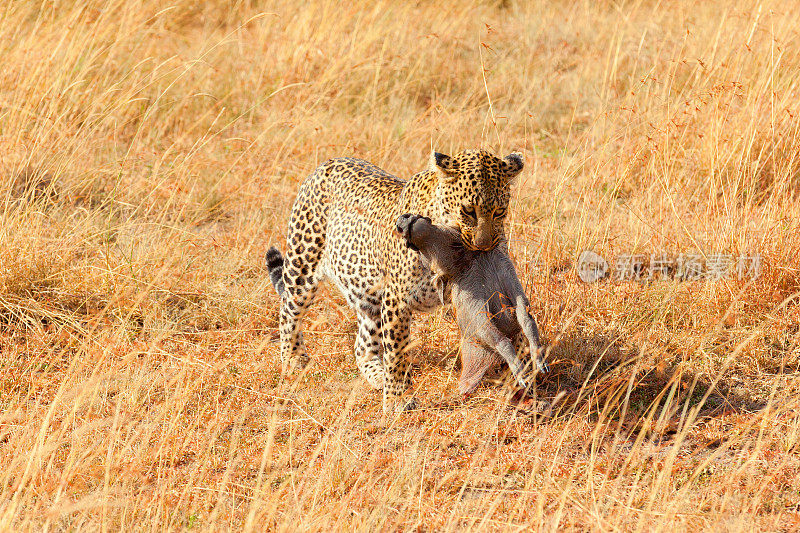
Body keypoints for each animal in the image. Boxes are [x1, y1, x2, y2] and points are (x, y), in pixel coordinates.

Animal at [262, 149, 524, 412]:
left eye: (499, 212)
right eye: (469, 211)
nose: (484, 245)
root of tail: (326, 164)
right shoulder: (396, 298)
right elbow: (397, 350)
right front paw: (398, 398)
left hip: (368, 296)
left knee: (362, 345)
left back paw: (378, 375)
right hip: (302, 264)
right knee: (288, 311)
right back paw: (294, 360)